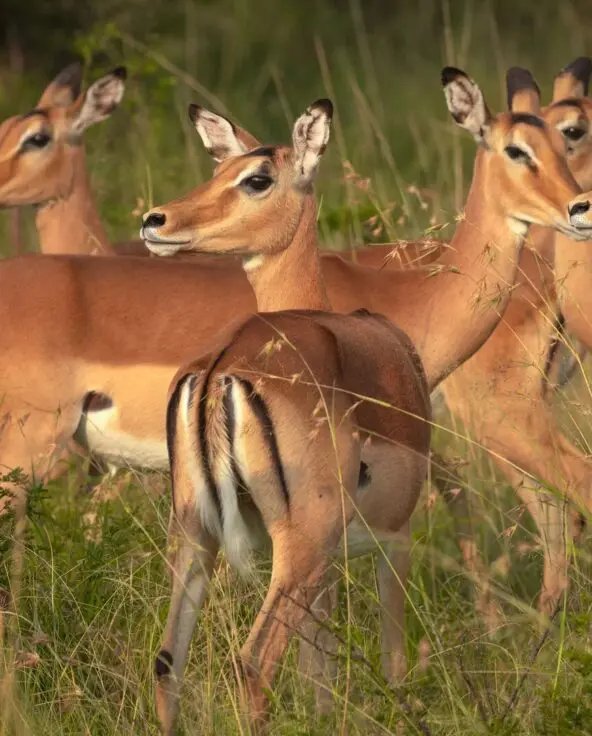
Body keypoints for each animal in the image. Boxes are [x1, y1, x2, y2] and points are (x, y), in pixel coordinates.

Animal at [143, 98, 431, 732]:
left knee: (168, 662)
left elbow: (318, 669)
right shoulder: (394, 539)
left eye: (256, 177)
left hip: (198, 537)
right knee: (252, 661)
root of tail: (223, 369)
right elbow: (394, 665)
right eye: (221, 169)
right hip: (299, 546)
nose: (155, 221)